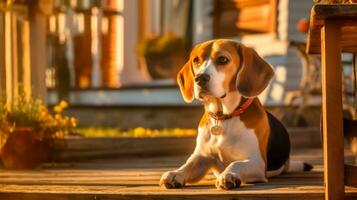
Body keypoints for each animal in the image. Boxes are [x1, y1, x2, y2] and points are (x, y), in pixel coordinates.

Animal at [159, 39, 312, 191]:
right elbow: (188, 165)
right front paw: (175, 173)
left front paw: (229, 174)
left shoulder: (257, 162)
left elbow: (236, 164)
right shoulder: (202, 157)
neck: (224, 117)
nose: (200, 78)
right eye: (196, 60)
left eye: (223, 59)